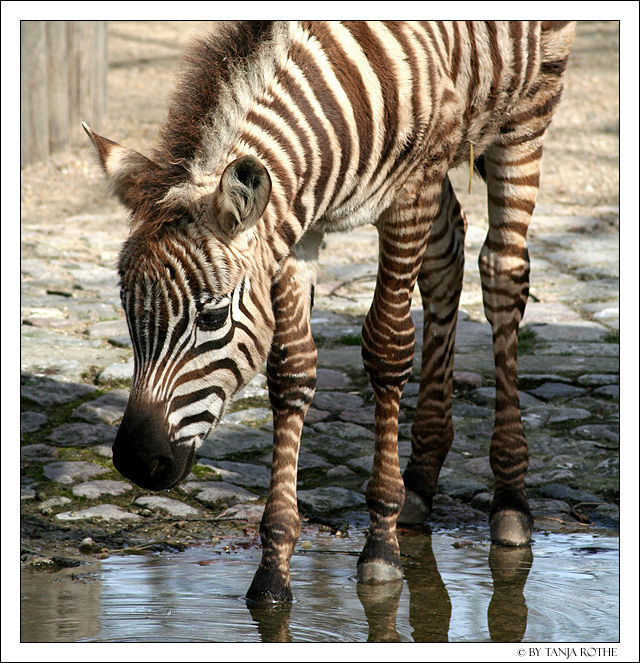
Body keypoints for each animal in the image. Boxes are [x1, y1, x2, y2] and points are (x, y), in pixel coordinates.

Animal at [84, 19, 576, 600]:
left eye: (212, 318)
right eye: (126, 313)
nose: (136, 463)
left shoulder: (407, 195)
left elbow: (387, 348)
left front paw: (381, 545)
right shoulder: (293, 230)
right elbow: (290, 370)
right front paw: (274, 565)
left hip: (528, 111)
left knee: (501, 272)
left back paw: (510, 499)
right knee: (447, 260)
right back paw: (421, 479)